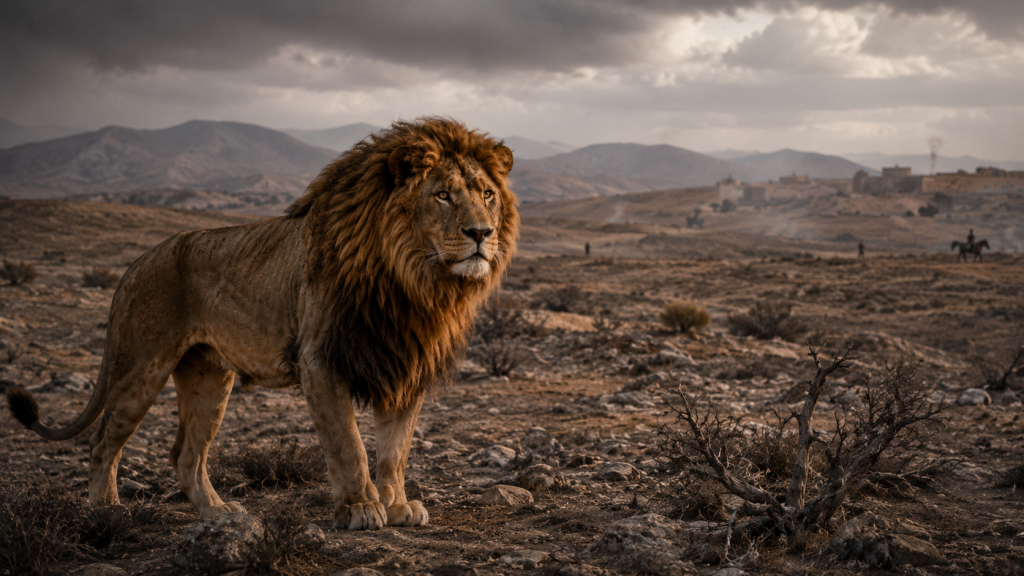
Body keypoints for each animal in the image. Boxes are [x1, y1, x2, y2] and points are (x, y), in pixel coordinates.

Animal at [6, 117, 518, 530]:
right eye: (443, 195)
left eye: (487, 195)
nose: (482, 233)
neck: (414, 281)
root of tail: (134, 265)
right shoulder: (320, 362)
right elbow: (348, 445)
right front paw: (360, 509)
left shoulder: (403, 365)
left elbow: (395, 451)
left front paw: (396, 506)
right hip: (140, 370)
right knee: (101, 443)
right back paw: (106, 510)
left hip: (210, 378)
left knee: (186, 455)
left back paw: (217, 513)